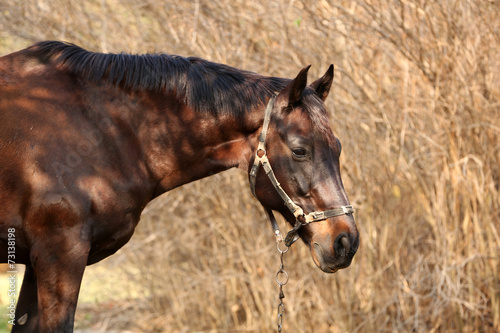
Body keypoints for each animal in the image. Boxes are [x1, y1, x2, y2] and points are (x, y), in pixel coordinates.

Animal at [0, 42, 360, 332]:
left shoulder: (38, 263)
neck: (99, 128)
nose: (346, 242)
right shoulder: (60, 255)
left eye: (339, 148)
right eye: (300, 150)